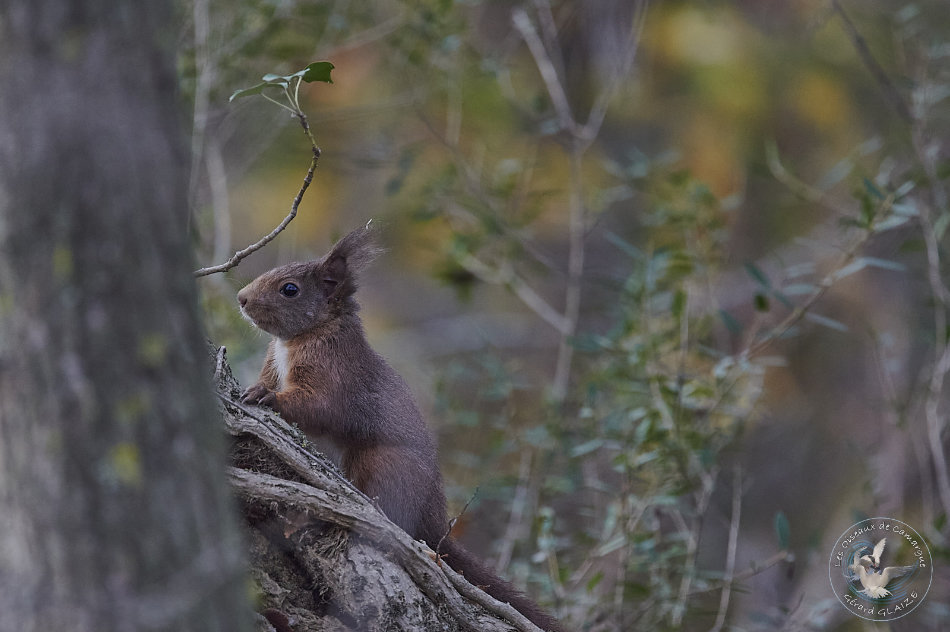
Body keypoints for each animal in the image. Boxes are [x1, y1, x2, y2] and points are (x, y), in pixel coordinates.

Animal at [237, 225, 564, 632]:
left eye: (290, 289)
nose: (241, 299)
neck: (298, 339)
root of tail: (434, 523)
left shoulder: (335, 372)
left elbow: (319, 407)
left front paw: (267, 396)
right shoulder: (273, 363)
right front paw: (254, 387)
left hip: (382, 464)